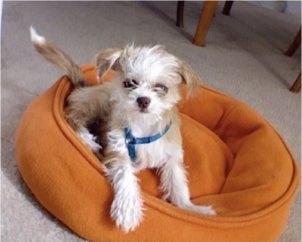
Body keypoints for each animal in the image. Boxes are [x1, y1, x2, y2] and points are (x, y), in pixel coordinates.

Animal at [30, 26, 215, 233]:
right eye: (129, 83)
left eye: (161, 88)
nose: (143, 100)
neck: (143, 125)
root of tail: (84, 87)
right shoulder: (118, 150)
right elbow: (125, 175)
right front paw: (128, 209)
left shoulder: (172, 157)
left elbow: (178, 185)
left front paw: (192, 210)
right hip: (98, 103)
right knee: (72, 117)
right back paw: (87, 140)